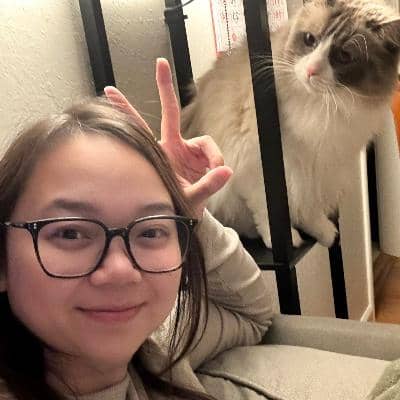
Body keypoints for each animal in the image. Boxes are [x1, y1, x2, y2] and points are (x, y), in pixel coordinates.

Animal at [181, 0, 400, 248]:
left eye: (344, 56)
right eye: (310, 40)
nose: (311, 71)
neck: (321, 109)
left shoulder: (317, 165)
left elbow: (308, 205)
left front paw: (324, 232)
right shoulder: (257, 164)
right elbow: (266, 207)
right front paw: (284, 239)